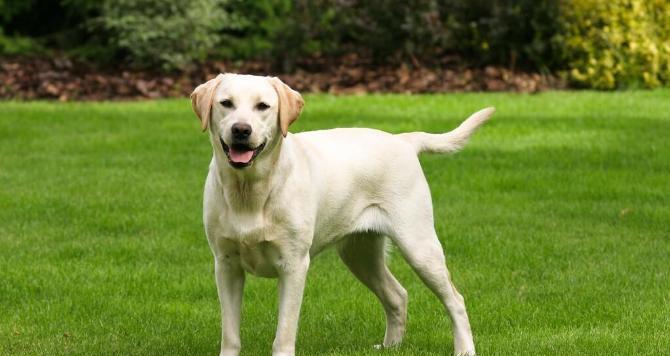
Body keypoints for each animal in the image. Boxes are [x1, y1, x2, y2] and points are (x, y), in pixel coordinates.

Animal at [189, 73, 494, 354]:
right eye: (226, 103)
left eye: (262, 106)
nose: (241, 130)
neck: (250, 191)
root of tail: (403, 140)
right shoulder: (226, 265)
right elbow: (230, 334)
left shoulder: (293, 265)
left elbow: (284, 334)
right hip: (359, 253)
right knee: (398, 295)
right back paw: (391, 346)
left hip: (419, 246)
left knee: (455, 299)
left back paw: (464, 349)